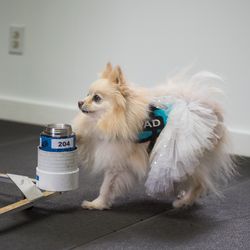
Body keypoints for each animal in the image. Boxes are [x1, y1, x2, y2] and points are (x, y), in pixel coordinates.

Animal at [73, 62, 236, 209]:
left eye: (97, 98)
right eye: (87, 95)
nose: (79, 102)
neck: (114, 118)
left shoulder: (116, 161)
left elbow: (106, 186)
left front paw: (97, 204)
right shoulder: (96, 138)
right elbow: (85, 138)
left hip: (186, 160)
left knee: (199, 184)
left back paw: (183, 202)